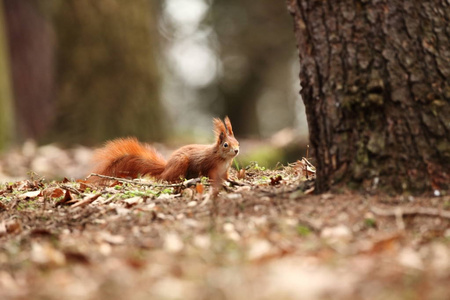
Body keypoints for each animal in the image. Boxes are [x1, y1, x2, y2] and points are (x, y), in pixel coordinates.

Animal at [87, 116, 239, 184]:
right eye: (226, 145)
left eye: (237, 142)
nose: (237, 151)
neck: (222, 157)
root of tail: (166, 168)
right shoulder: (209, 165)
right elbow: (210, 175)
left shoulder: (225, 169)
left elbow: (226, 176)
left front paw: (234, 180)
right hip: (181, 162)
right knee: (165, 178)